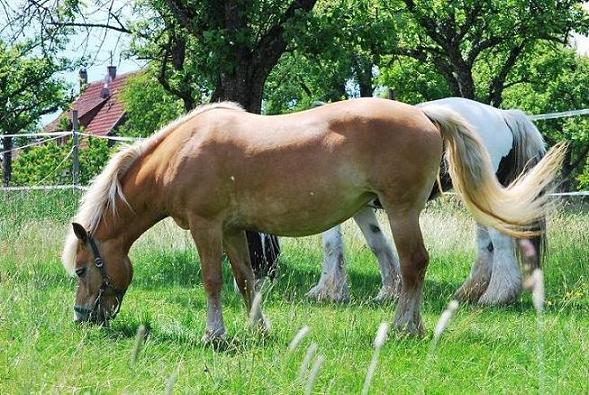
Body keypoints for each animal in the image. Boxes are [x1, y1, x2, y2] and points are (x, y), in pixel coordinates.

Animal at [308, 97, 548, 304]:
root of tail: (502, 115)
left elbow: (331, 243)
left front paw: (327, 291)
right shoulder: (360, 209)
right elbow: (377, 242)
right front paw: (389, 291)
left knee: (499, 240)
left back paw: (496, 296)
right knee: (485, 244)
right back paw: (470, 293)